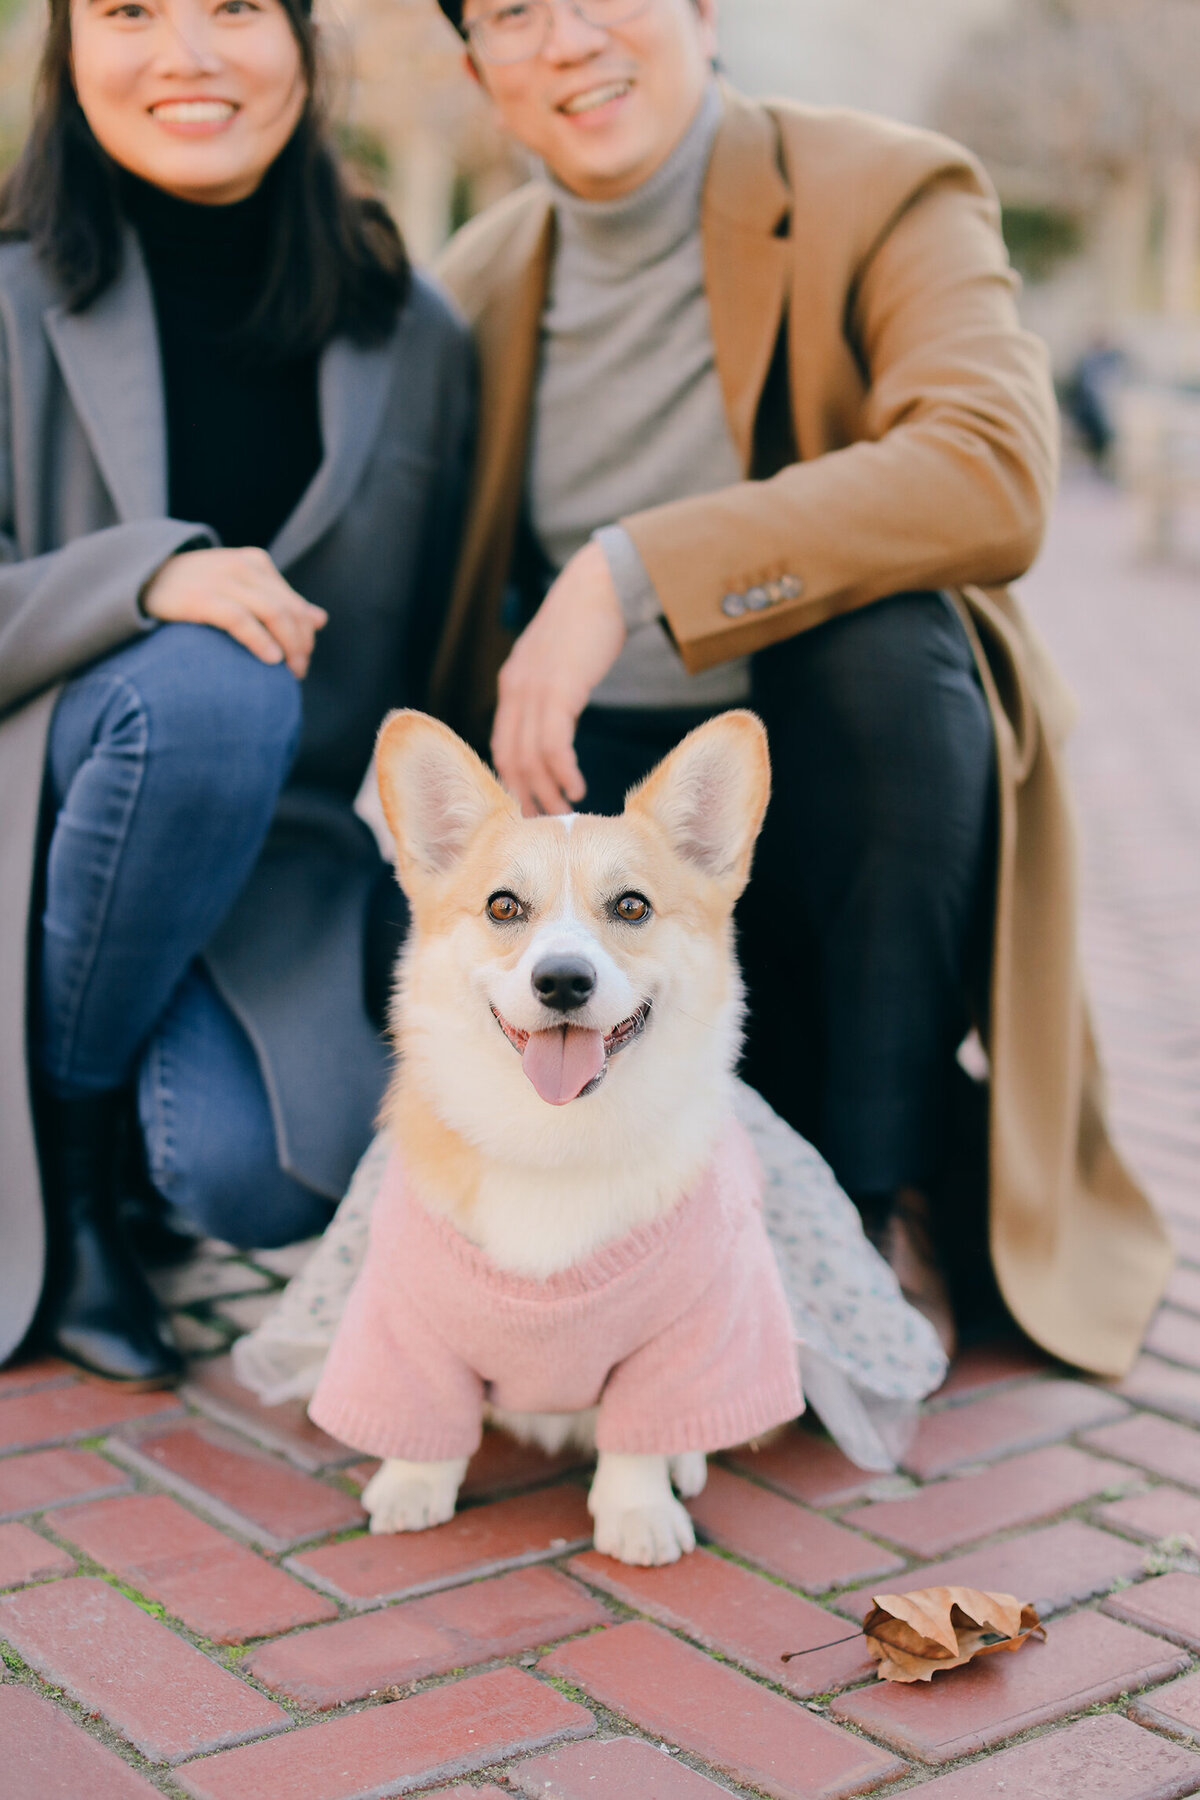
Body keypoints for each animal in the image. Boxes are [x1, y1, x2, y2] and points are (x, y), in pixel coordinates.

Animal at [309, 702, 802, 1562]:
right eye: (504, 907)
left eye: (632, 906)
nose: (564, 981)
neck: (554, 1140)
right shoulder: (402, 1319)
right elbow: (422, 1418)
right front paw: (412, 1484)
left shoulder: (690, 1332)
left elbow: (640, 1433)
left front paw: (638, 1511)